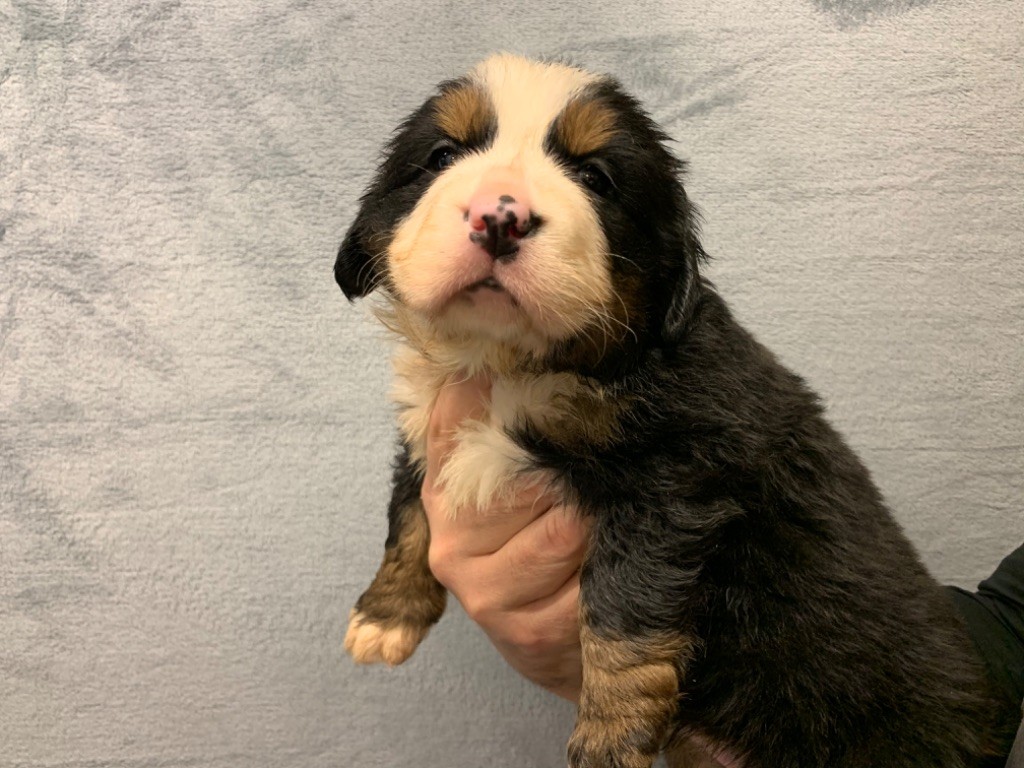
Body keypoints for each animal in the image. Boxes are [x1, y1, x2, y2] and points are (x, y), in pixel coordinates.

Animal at [334, 54, 1017, 767]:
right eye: (442, 155)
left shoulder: (675, 476)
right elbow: (408, 510)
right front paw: (386, 614)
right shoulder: (428, 420)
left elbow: (624, 608)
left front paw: (610, 739)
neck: (509, 366)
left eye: (596, 178)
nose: (500, 216)